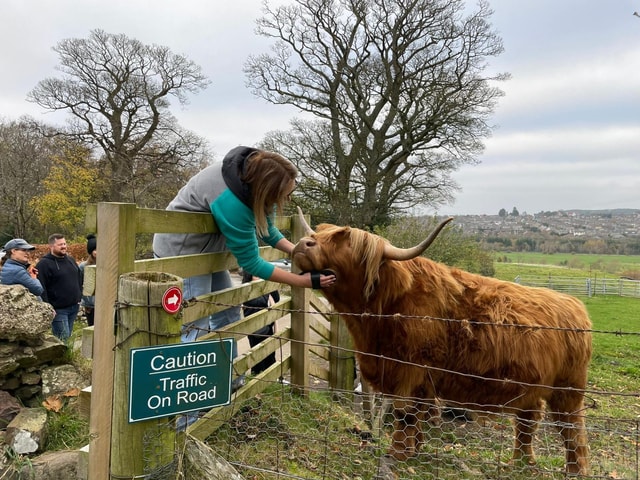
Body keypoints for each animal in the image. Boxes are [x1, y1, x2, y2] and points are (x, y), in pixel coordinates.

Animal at [292, 208, 592, 474]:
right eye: (319, 233)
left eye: (346, 241)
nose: (304, 244)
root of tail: (575, 305)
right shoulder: (417, 377)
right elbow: (419, 413)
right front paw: (414, 448)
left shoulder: (411, 370)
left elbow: (405, 413)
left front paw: (397, 452)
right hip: (532, 388)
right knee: (527, 422)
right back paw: (519, 463)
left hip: (567, 390)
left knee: (572, 429)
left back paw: (574, 470)